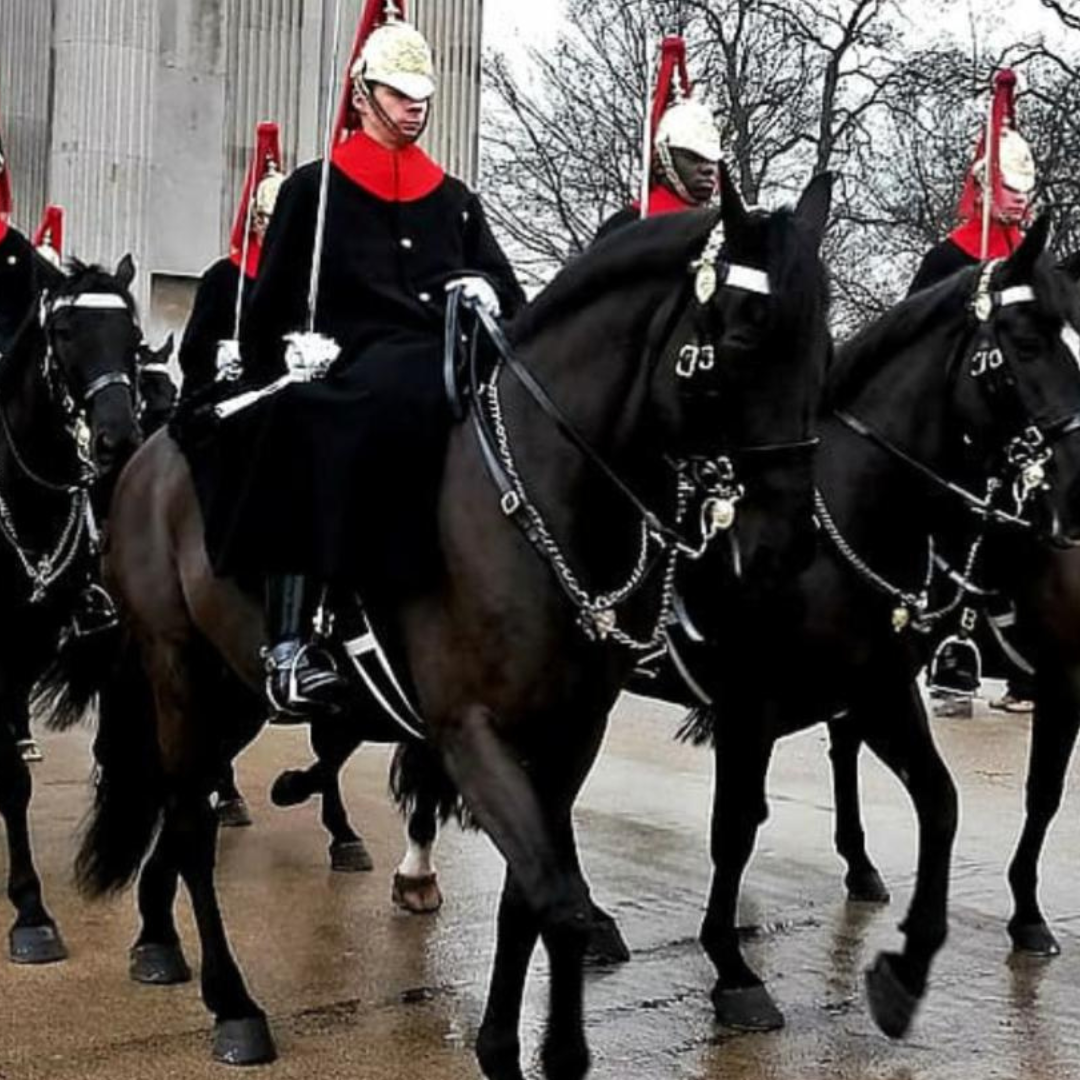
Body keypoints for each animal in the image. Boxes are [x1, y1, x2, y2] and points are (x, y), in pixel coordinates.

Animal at [46, 168, 829, 1071]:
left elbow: (531, 893)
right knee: (188, 821)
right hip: (177, 669)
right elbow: (558, 897)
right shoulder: (470, 730)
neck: (542, 490)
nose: (786, 542)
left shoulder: (568, 736)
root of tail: (146, 455)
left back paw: (159, 938)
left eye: (824, 344)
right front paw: (551, 1052)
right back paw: (233, 1003)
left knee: (184, 805)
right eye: (743, 337)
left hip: (233, 686)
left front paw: (503, 1042)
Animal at [617, 217, 1080, 1036]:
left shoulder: (881, 690)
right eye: (1026, 341)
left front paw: (905, 970)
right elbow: (735, 828)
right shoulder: (751, 706)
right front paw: (733, 971)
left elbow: (941, 803)